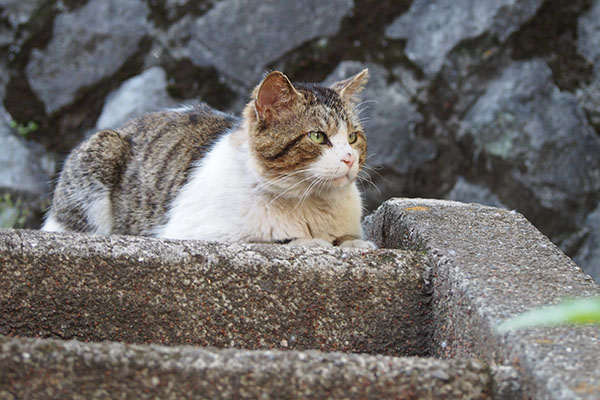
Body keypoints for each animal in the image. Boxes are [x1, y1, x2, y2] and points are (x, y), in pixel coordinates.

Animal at [41, 70, 376, 248]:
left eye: (352, 137)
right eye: (318, 136)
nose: (349, 159)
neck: (309, 204)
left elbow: (349, 239)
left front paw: (354, 244)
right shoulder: (196, 232)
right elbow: (265, 239)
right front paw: (308, 241)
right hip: (101, 156)